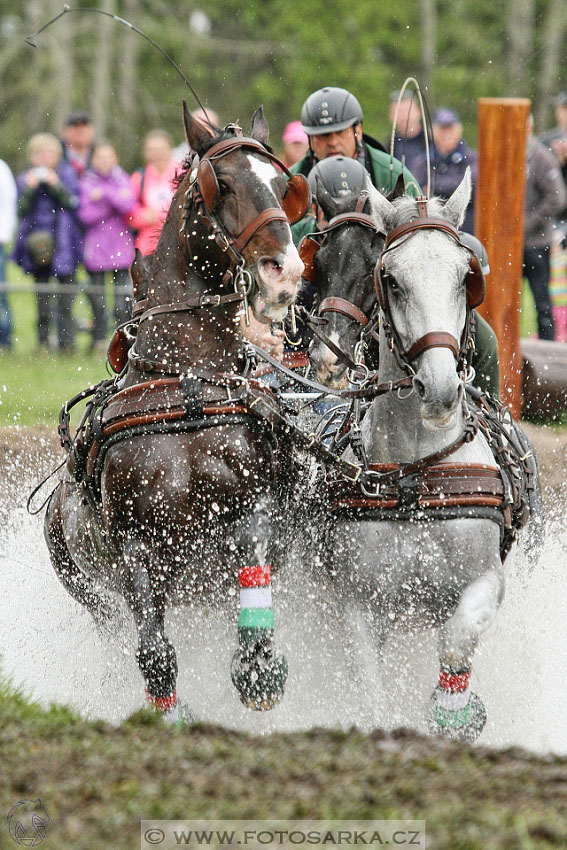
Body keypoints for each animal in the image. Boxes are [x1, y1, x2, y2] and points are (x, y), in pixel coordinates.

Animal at [45, 102, 310, 720]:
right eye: (224, 183)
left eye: (283, 185)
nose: (285, 272)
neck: (186, 381)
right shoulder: (137, 545)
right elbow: (153, 649)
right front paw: (170, 713)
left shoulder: (252, 508)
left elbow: (254, 579)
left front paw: (259, 669)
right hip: (83, 584)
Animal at [328, 171, 510, 736]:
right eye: (392, 279)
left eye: (465, 277)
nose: (440, 389)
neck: (416, 474)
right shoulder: (357, 603)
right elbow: (368, 687)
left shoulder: (485, 581)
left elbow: (456, 640)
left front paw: (455, 714)